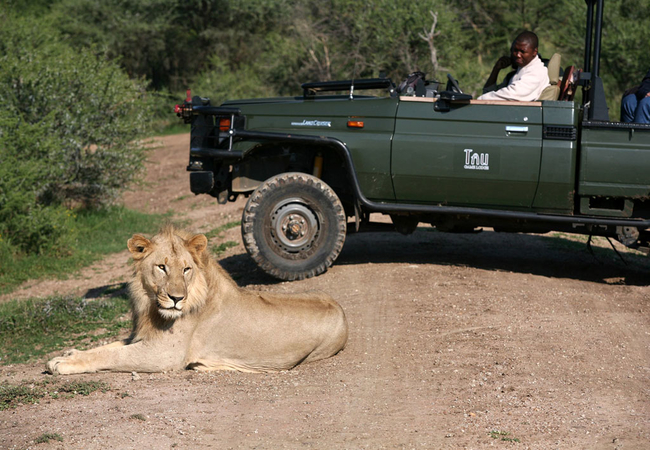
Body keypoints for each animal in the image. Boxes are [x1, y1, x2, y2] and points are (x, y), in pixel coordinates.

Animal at [46, 227, 346, 374]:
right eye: (162, 267)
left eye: (186, 269)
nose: (177, 299)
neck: (151, 308)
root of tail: (341, 308)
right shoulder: (143, 337)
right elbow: (108, 346)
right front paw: (68, 354)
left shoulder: (163, 355)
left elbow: (114, 354)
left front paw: (64, 363)